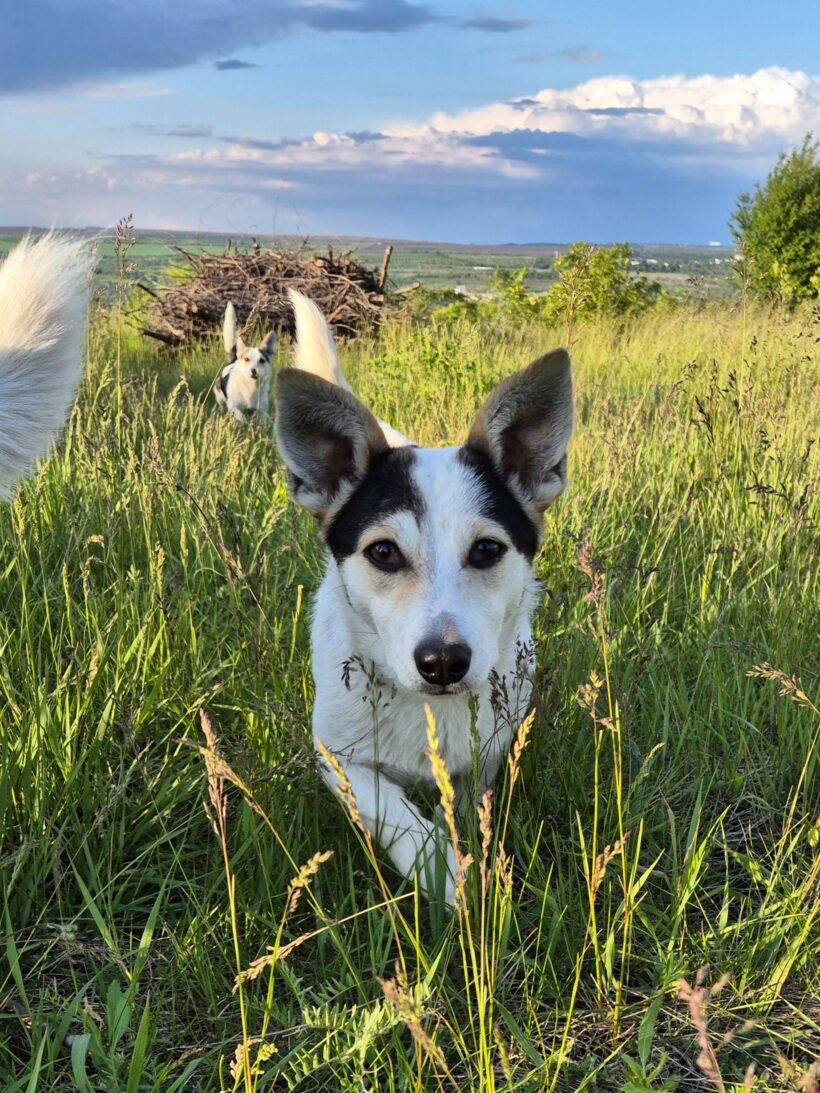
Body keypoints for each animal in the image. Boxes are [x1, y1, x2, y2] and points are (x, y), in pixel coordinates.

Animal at [275, 290, 573, 903]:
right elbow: (392, 808)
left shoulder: (487, 755)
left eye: (487, 549)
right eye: (384, 552)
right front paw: (443, 872)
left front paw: (456, 851)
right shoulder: (336, 755)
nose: (442, 662)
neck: (425, 706)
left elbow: (459, 801)